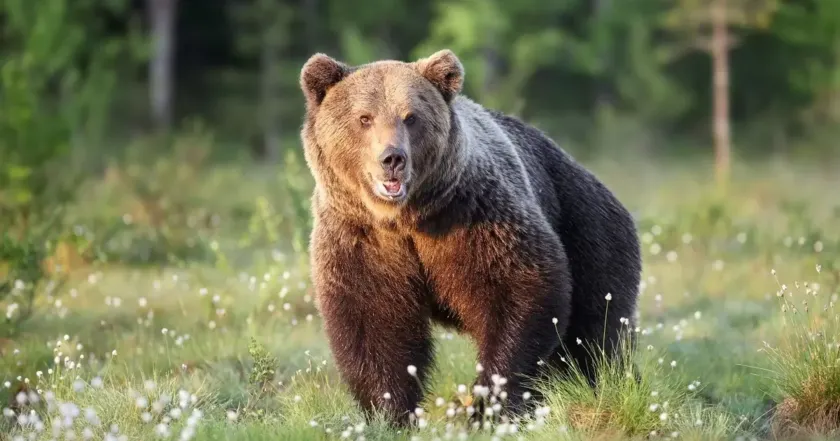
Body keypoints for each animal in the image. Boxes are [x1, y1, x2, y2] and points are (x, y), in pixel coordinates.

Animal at [298, 49, 642, 427]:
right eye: (364, 118)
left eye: (411, 117)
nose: (392, 158)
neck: (405, 218)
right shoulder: (362, 239)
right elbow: (373, 320)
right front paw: (390, 412)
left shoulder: (473, 217)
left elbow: (518, 290)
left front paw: (488, 407)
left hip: (587, 227)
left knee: (596, 331)